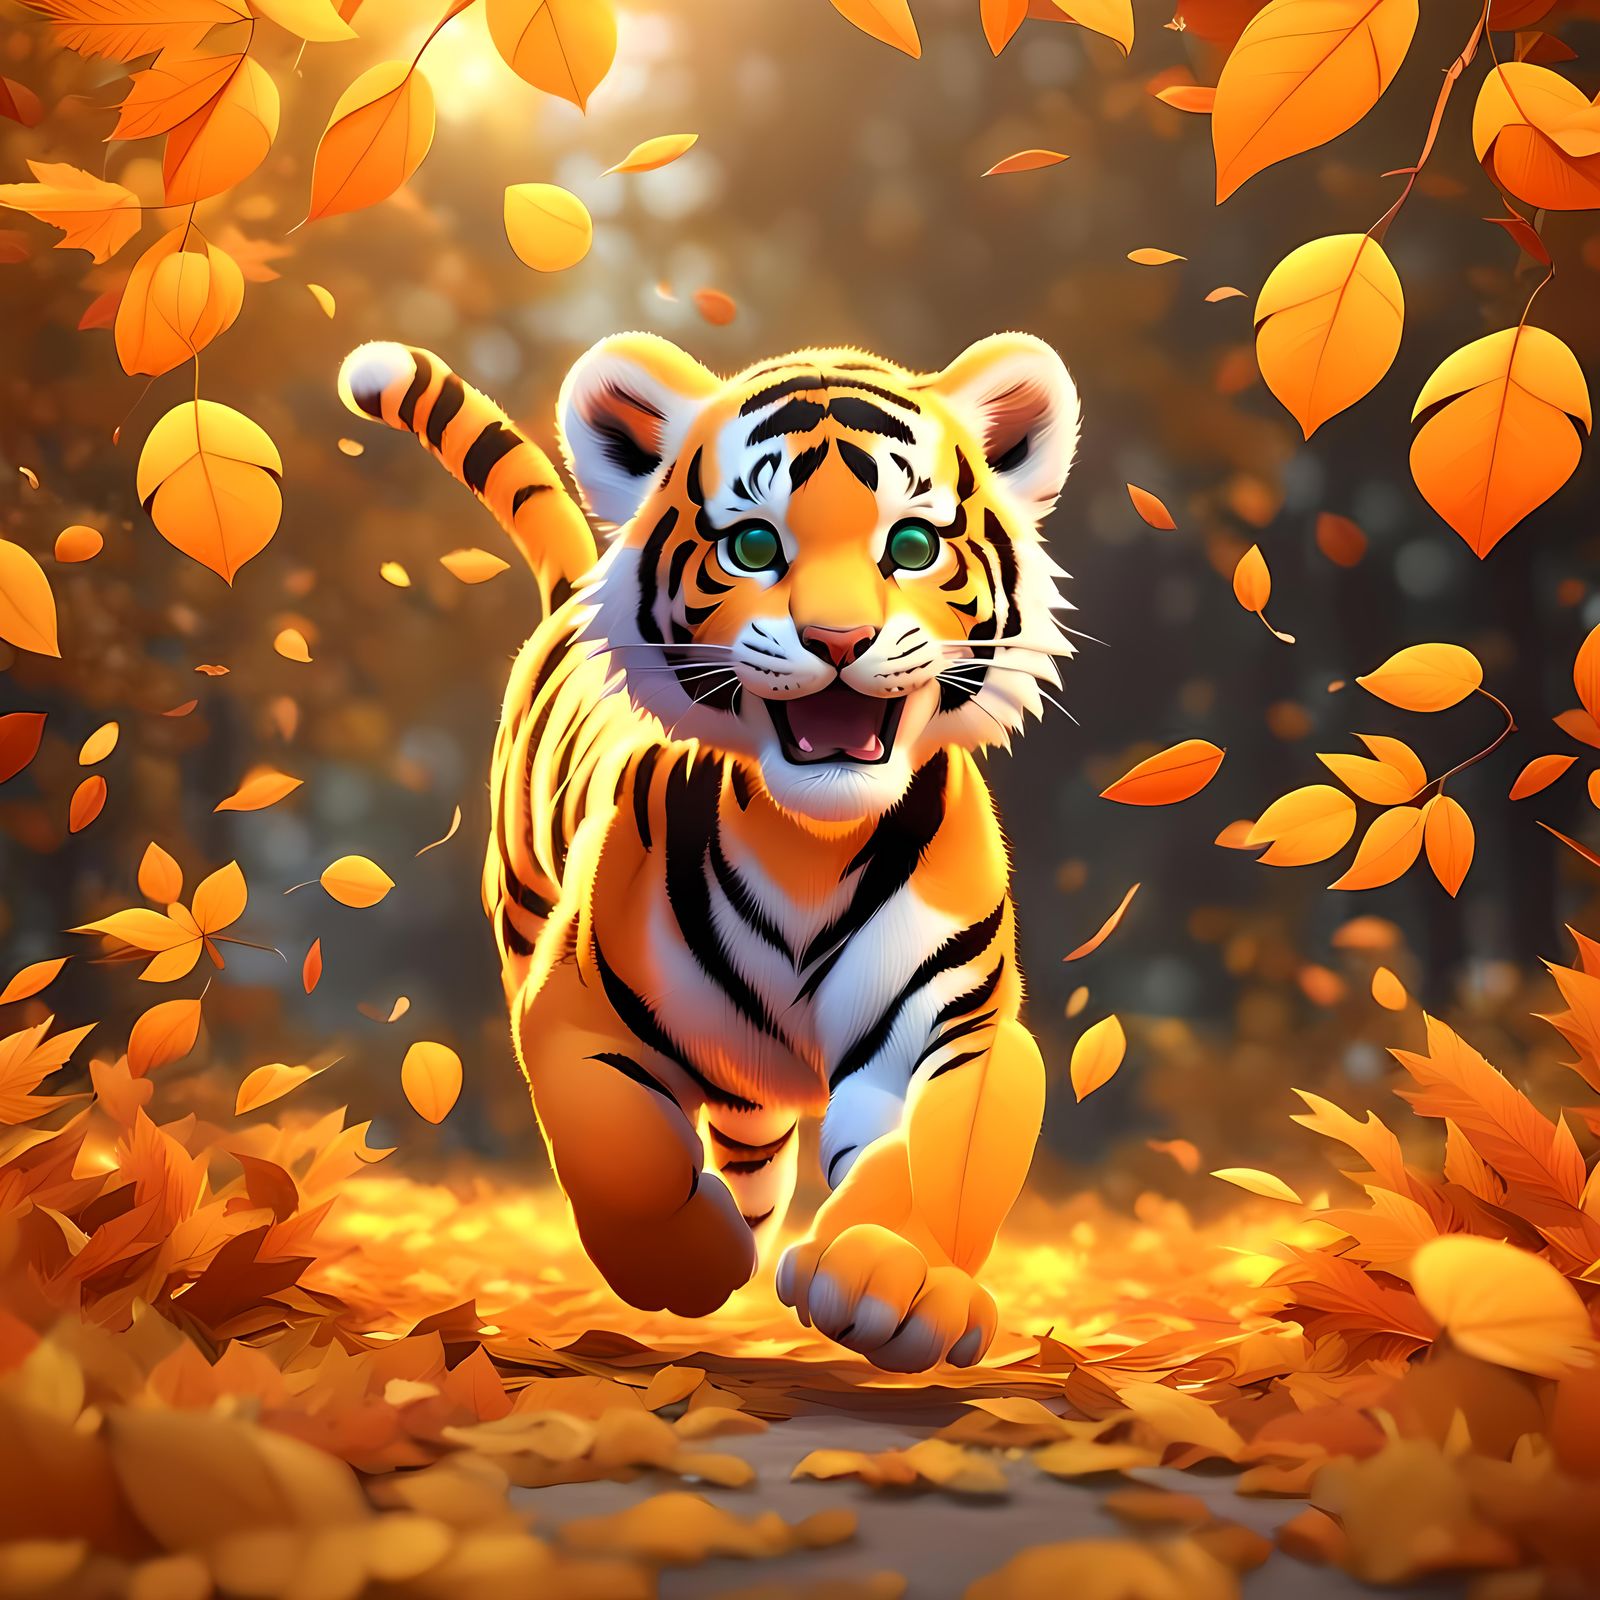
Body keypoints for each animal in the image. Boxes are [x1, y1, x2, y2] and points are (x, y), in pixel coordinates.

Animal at [336, 330, 1079, 1372]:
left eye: (913, 546)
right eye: (754, 546)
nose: (839, 638)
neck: (810, 842)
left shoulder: (956, 1029)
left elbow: (940, 1163)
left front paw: (888, 1282)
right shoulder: (572, 1008)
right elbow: (625, 1155)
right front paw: (693, 1262)